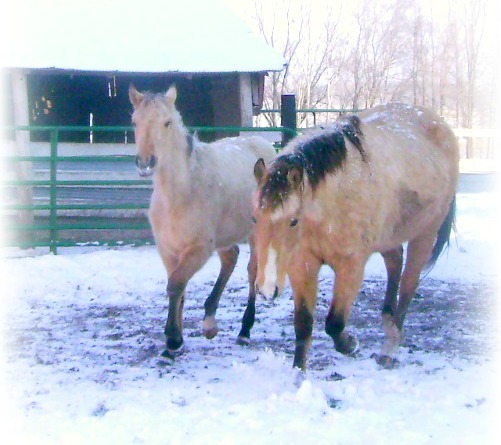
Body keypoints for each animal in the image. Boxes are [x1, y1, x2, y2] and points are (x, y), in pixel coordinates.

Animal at [129, 85, 276, 360]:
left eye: (166, 122)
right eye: (135, 122)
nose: (145, 163)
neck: (180, 193)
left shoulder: (199, 249)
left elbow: (176, 285)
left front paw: (173, 339)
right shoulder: (168, 250)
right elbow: (179, 288)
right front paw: (175, 340)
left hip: (255, 232)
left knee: (252, 271)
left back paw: (245, 330)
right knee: (230, 259)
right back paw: (210, 320)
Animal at [250, 102, 458, 370]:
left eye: (293, 221)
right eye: (255, 218)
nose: (266, 288)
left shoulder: (351, 267)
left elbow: (335, 323)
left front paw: (350, 344)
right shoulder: (302, 265)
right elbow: (303, 325)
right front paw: (299, 374)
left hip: (425, 234)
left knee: (408, 285)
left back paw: (390, 346)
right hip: (389, 235)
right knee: (394, 263)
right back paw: (388, 324)